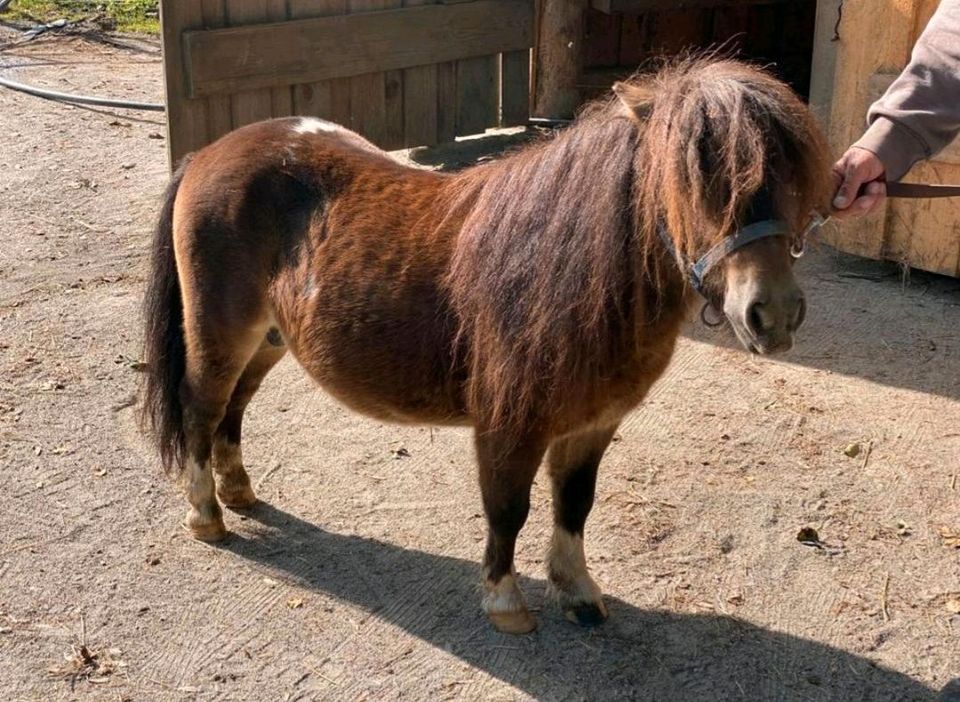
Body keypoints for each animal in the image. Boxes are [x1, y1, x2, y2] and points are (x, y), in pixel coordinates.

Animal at [142, 57, 832, 636]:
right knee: (202, 409)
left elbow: (574, 504)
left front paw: (579, 593)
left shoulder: (593, 424)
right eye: (694, 180)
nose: (773, 314)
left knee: (233, 410)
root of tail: (209, 152)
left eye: (791, 178)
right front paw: (505, 602)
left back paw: (239, 492)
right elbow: (508, 508)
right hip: (221, 333)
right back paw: (207, 517)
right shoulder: (510, 424)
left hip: (268, 339)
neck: (566, 269)